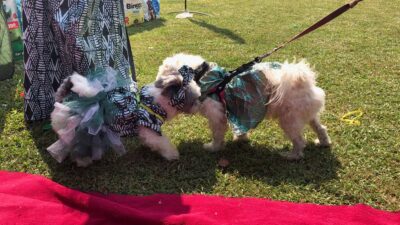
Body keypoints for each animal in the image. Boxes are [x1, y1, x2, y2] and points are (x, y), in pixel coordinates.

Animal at [48, 66, 202, 166]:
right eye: (193, 100)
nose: (200, 103)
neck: (153, 104)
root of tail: (63, 100)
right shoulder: (151, 129)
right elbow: (164, 143)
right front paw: (173, 154)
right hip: (81, 130)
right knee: (76, 147)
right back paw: (83, 161)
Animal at [157, 53, 332, 160]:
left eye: (162, 75)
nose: (156, 84)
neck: (202, 76)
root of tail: (303, 80)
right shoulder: (239, 111)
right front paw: (241, 138)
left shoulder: (217, 116)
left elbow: (217, 135)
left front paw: (213, 148)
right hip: (307, 114)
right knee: (320, 127)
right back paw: (323, 142)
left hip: (289, 120)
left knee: (299, 141)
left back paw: (292, 155)